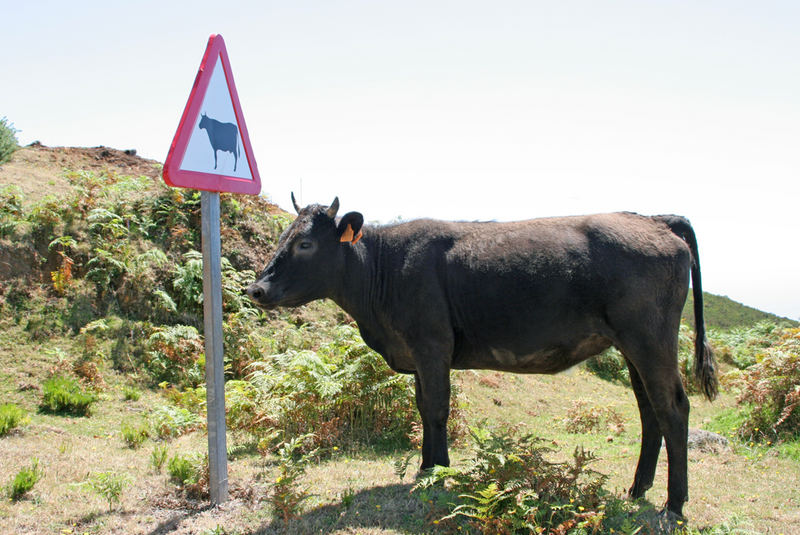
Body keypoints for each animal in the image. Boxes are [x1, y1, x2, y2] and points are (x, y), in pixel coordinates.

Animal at [245, 197, 720, 520]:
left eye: (305, 243)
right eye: (284, 237)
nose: (257, 289)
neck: (384, 270)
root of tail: (653, 218)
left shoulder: (432, 344)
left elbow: (437, 408)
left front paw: (436, 470)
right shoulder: (418, 352)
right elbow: (423, 407)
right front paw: (428, 466)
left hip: (650, 339)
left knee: (673, 408)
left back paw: (674, 505)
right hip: (631, 346)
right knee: (649, 412)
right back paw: (637, 490)